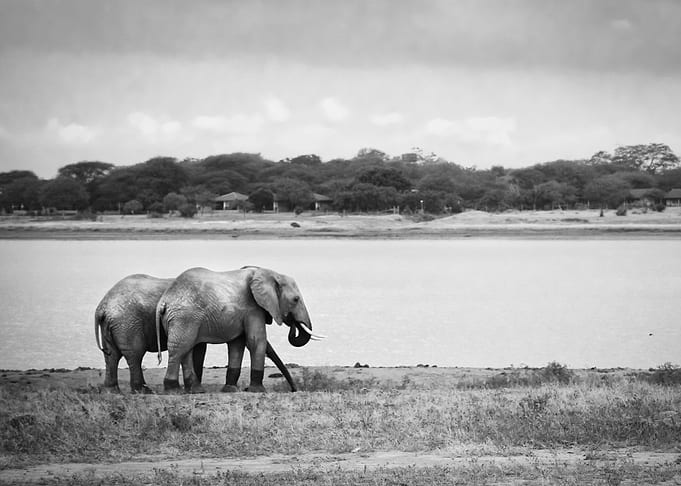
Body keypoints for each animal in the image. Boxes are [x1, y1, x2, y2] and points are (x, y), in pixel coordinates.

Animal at [96, 273, 297, 393]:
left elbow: (197, 349)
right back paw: (144, 391)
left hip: (115, 324)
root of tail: (102, 307)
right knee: (134, 355)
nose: (295, 389)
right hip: (127, 323)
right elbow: (198, 350)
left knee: (112, 356)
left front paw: (194, 386)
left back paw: (113, 391)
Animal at [156, 266, 323, 393]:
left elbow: (237, 344)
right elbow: (256, 341)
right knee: (179, 348)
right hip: (184, 317)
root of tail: (164, 301)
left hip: (183, 319)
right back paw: (173, 390)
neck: (269, 273)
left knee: (186, 349)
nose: (294, 390)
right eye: (295, 299)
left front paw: (230, 389)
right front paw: (257, 390)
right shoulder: (253, 308)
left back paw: (196, 390)